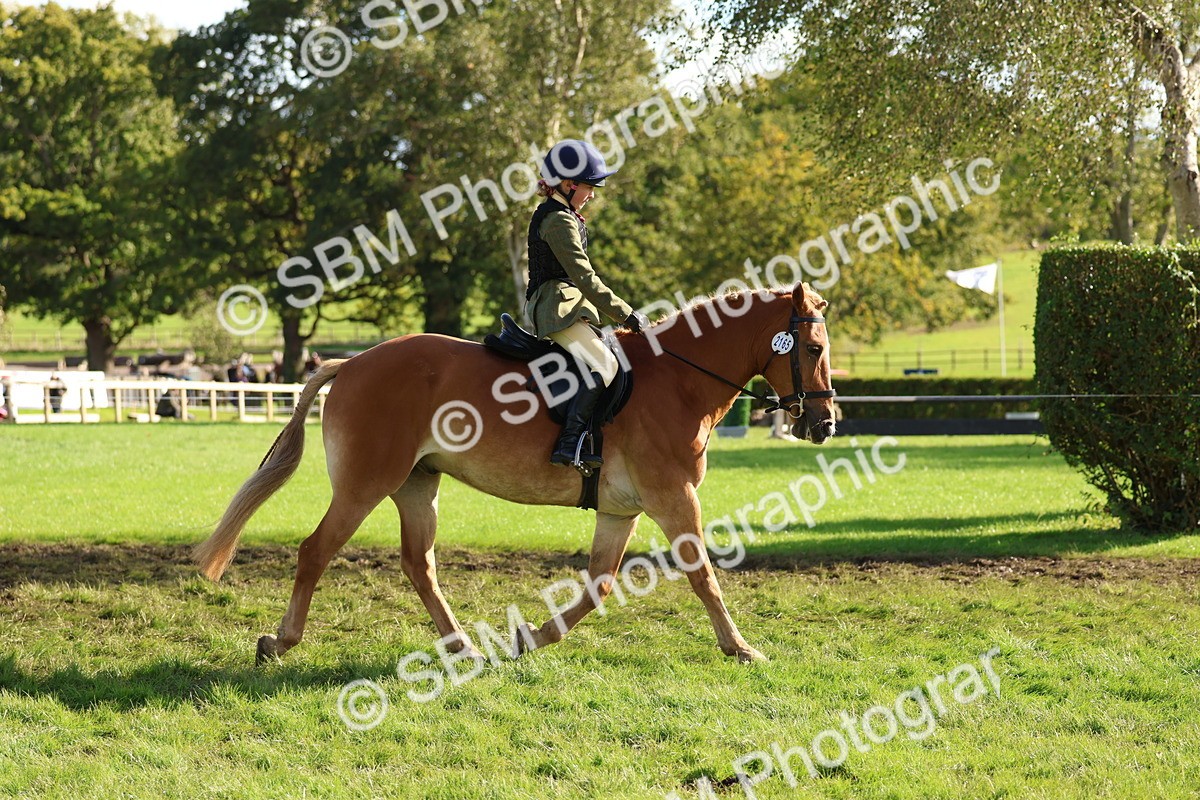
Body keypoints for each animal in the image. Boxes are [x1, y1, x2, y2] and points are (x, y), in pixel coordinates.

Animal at [194, 280, 837, 665]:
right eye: (812, 349)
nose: (825, 423)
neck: (678, 380)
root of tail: (351, 363)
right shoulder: (673, 496)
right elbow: (702, 573)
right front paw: (741, 648)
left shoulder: (621, 508)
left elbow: (599, 584)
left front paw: (532, 636)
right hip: (365, 486)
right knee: (315, 551)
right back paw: (280, 641)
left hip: (416, 485)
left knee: (419, 564)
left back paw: (461, 647)